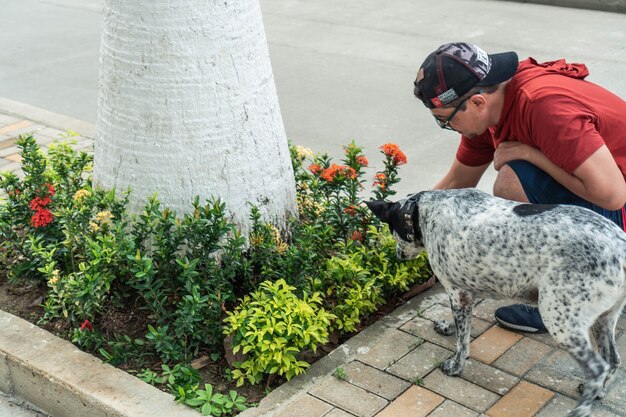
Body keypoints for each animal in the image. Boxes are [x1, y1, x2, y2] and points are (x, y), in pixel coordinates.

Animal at [366, 188, 624, 416]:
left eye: (392, 231)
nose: (398, 256)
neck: (422, 210)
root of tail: (621, 247)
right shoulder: (468, 290)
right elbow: (460, 327)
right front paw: (448, 328)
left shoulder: (457, 292)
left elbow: (462, 344)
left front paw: (456, 367)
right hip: (603, 319)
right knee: (613, 360)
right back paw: (598, 392)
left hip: (560, 320)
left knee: (598, 369)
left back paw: (580, 409)